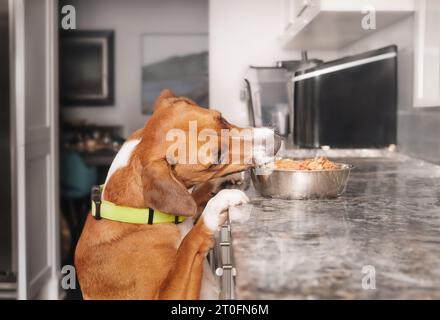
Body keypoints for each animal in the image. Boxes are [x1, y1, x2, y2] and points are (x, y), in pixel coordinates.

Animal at [74, 90, 280, 300]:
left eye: (221, 118)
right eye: (217, 158)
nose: (276, 141)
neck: (142, 217)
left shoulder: (185, 205)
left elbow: (193, 201)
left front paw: (224, 182)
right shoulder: (164, 295)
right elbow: (188, 245)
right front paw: (216, 205)